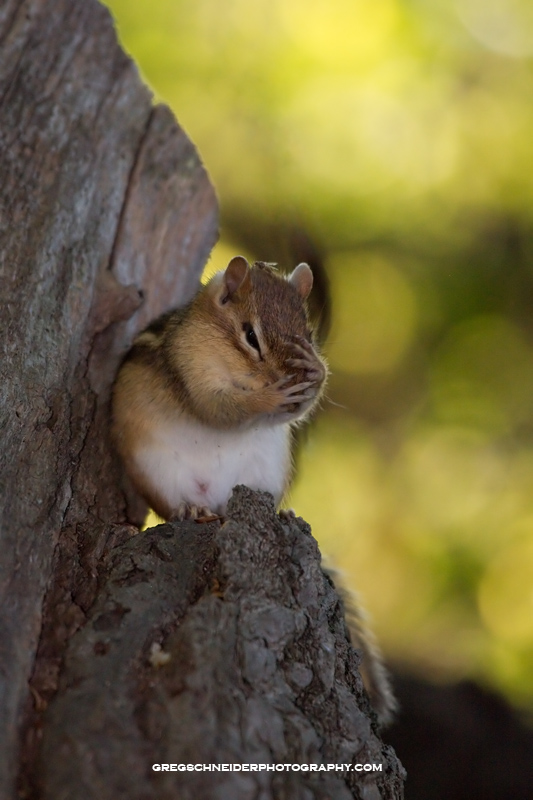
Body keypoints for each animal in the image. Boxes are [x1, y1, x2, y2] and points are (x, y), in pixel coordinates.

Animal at [111, 254, 396, 725]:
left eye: (308, 334)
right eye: (250, 336)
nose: (296, 368)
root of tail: (217, 504)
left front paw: (316, 374)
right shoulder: (190, 370)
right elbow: (218, 408)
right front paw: (267, 398)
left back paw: (279, 513)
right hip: (156, 473)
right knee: (176, 506)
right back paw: (191, 511)